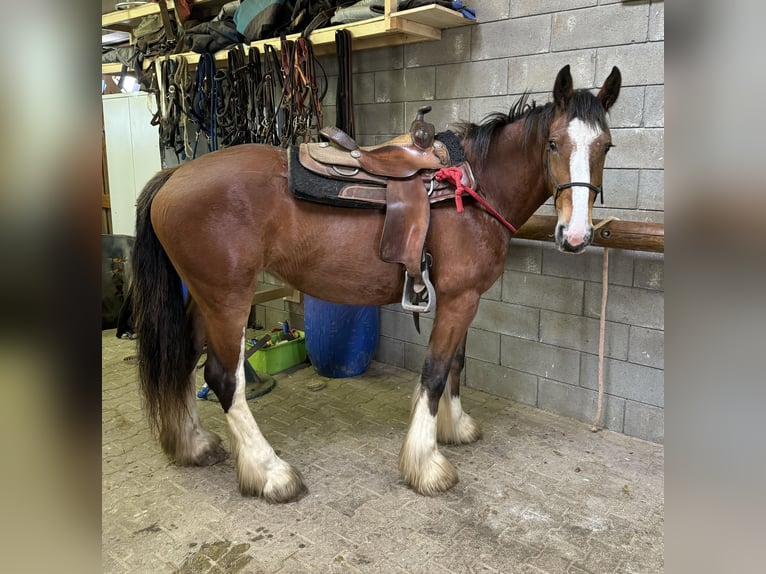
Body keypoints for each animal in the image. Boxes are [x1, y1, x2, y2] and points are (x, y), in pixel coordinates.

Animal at [134, 64, 624, 504]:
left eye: (606, 146)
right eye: (554, 142)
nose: (575, 235)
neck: (473, 187)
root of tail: (173, 176)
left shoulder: (461, 299)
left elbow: (456, 364)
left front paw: (455, 427)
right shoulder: (460, 298)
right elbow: (435, 372)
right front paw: (426, 464)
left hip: (205, 298)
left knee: (184, 358)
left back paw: (194, 444)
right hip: (228, 298)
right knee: (223, 377)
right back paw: (271, 473)